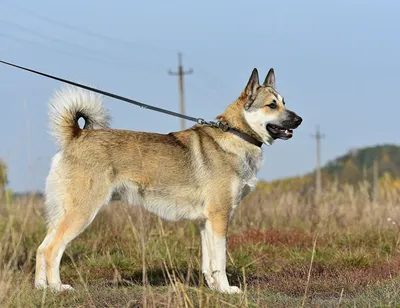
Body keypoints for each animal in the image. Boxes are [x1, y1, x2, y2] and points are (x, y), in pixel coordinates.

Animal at [35, 68, 304, 294]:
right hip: (82, 213)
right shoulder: (219, 217)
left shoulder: (205, 222)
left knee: (41, 248)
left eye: (284, 102)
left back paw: (41, 288)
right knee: (52, 249)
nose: (299, 120)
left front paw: (214, 289)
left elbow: (208, 263)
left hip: (63, 214)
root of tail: (76, 135)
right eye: (272, 105)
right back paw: (58, 287)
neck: (237, 135)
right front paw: (227, 290)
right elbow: (220, 260)